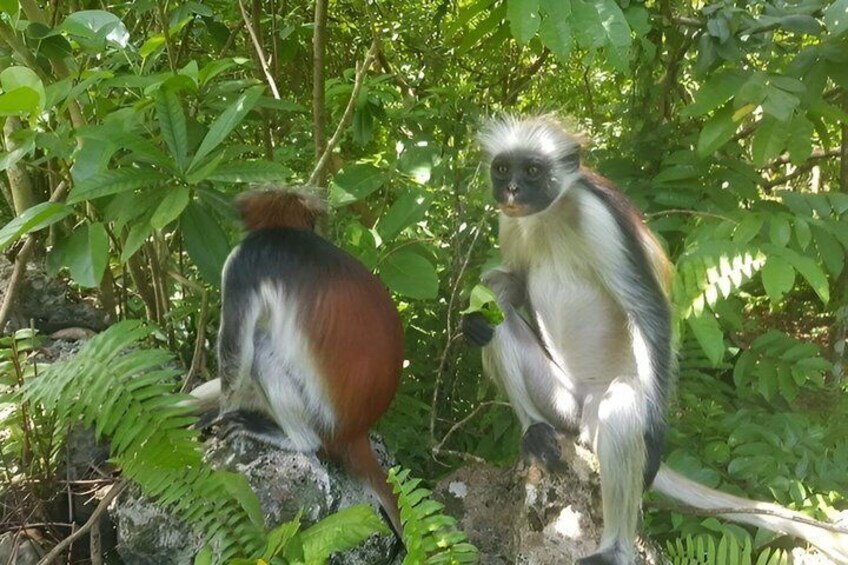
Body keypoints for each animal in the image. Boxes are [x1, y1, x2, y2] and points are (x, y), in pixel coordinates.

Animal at [190, 188, 404, 535]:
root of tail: (354, 431)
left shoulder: (242, 263)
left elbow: (236, 357)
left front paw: (220, 415)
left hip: (318, 414)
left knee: (260, 349)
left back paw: (296, 441)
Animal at [464, 115, 848, 564]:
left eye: (532, 170)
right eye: (502, 169)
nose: (511, 190)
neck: (552, 214)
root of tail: (580, 413)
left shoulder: (599, 218)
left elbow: (648, 312)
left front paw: (656, 436)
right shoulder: (511, 221)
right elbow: (511, 287)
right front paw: (475, 316)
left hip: (599, 414)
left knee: (624, 403)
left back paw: (615, 547)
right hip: (560, 402)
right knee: (501, 322)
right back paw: (534, 429)